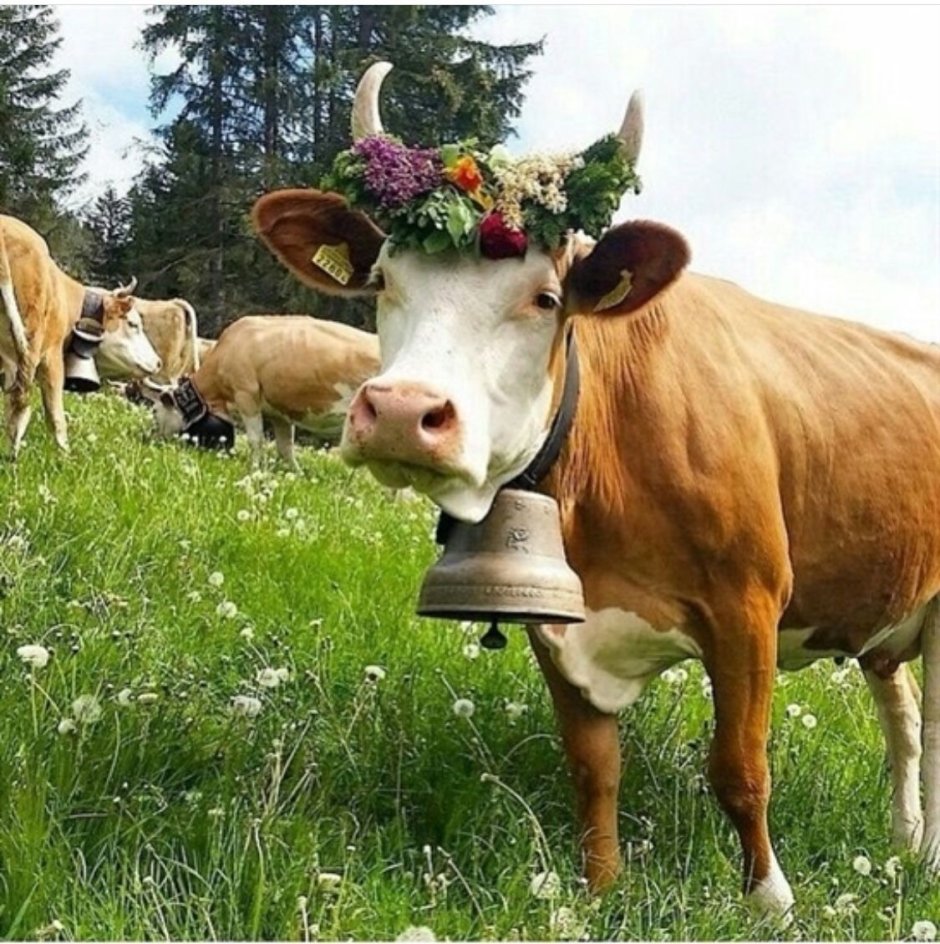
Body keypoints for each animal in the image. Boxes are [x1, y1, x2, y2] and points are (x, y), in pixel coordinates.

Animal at [0, 214, 162, 455]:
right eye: (133, 324)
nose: (159, 362)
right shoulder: (51, 357)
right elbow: (55, 416)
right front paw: (64, 455)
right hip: (30, 344)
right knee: (20, 403)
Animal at [142, 314, 379, 466]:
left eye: (155, 411)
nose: (150, 438)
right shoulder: (279, 413)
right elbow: (285, 448)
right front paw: (294, 475)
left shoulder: (246, 394)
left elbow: (256, 441)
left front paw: (255, 470)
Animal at [251, 63, 940, 918]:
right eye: (383, 280)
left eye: (545, 298)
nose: (405, 413)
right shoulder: (559, 618)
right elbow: (593, 768)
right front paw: (599, 890)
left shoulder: (749, 602)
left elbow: (740, 769)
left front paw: (770, 900)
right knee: (902, 715)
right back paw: (906, 841)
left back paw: (927, 854)